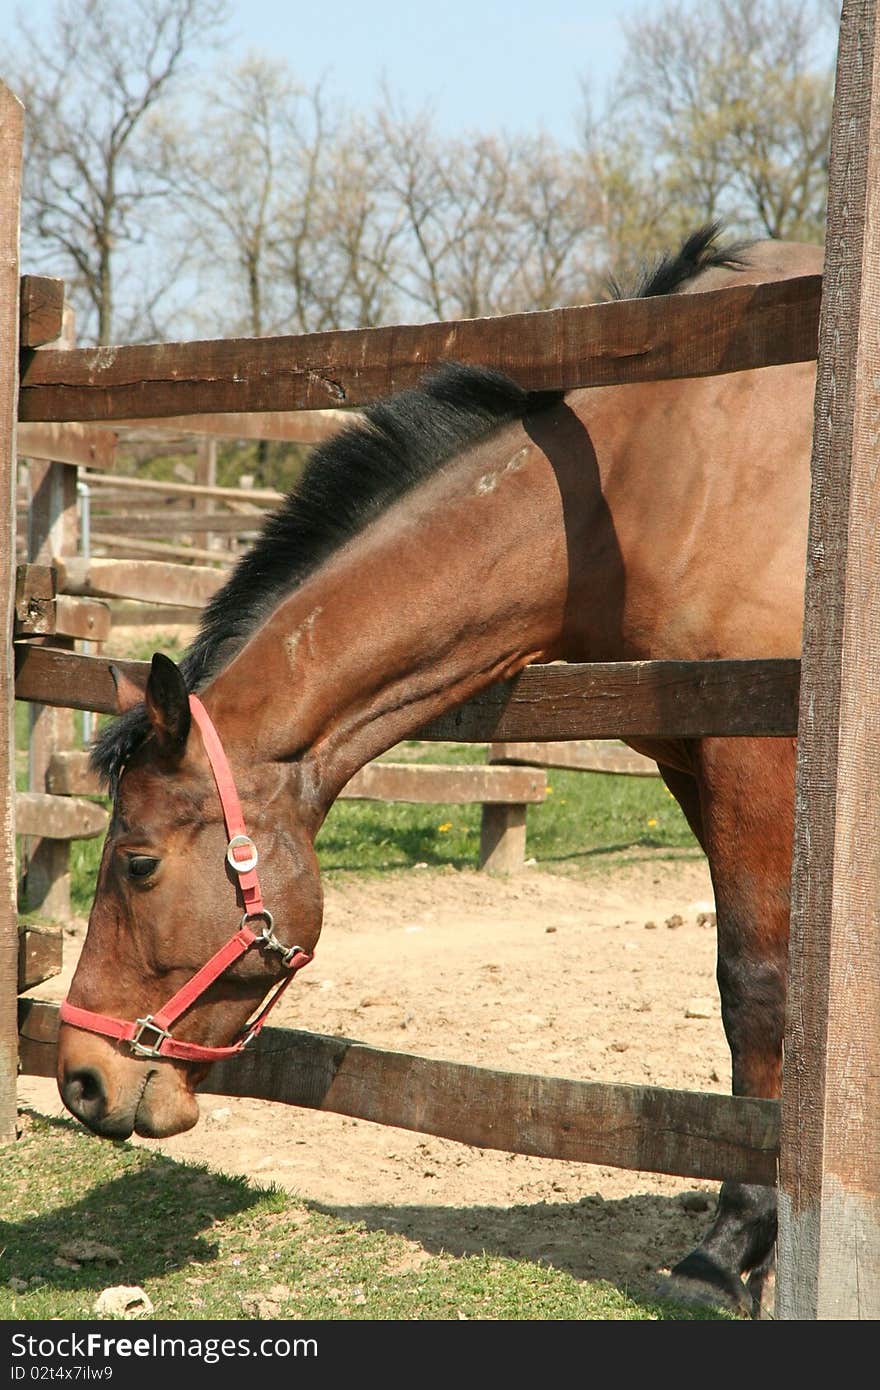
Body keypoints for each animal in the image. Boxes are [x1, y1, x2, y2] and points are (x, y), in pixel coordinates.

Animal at [53, 225, 823, 1312]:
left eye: (138, 863)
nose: (80, 1078)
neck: (659, 479)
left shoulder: (755, 753)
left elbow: (758, 983)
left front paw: (730, 1244)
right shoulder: (690, 753)